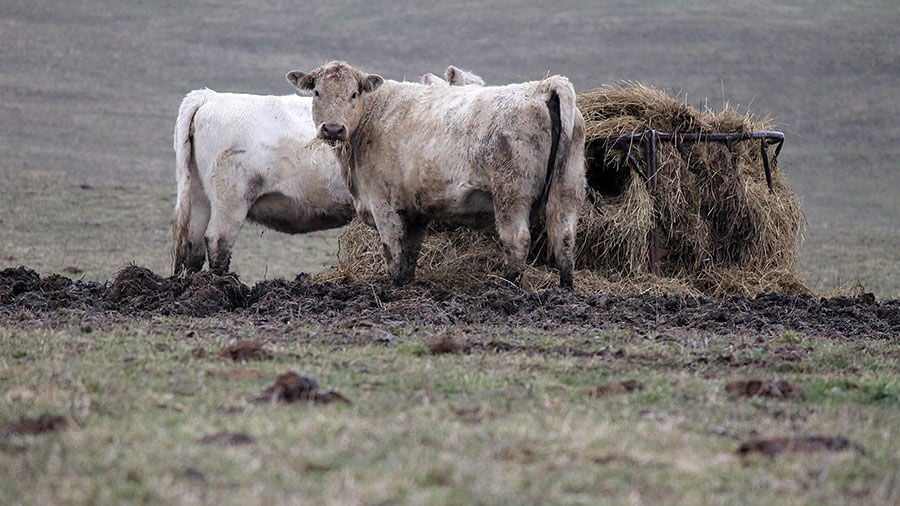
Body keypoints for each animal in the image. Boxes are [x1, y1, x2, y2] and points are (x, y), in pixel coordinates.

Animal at [286, 61, 586, 288]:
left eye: (353, 94)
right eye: (317, 92)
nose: (333, 128)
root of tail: (542, 86)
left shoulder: (383, 203)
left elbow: (392, 249)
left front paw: (392, 288)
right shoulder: (415, 210)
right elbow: (410, 253)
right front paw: (405, 283)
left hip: (511, 194)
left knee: (517, 240)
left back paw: (507, 287)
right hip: (569, 188)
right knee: (565, 238)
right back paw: (565, 289)